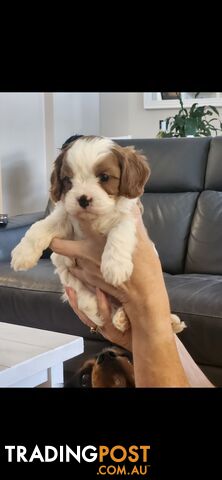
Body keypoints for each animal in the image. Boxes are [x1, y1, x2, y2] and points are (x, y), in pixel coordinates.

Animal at [10, 135, 184, 334]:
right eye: (67, 180)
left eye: (105, 177)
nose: (83, 199)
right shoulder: (65, 218)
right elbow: (40, 226)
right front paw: (22, 254)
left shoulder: (130, 216)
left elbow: (120, 232)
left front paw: (115, 266)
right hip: (75, 284)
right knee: (90, 302)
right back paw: (117, 317)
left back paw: (163, 321)